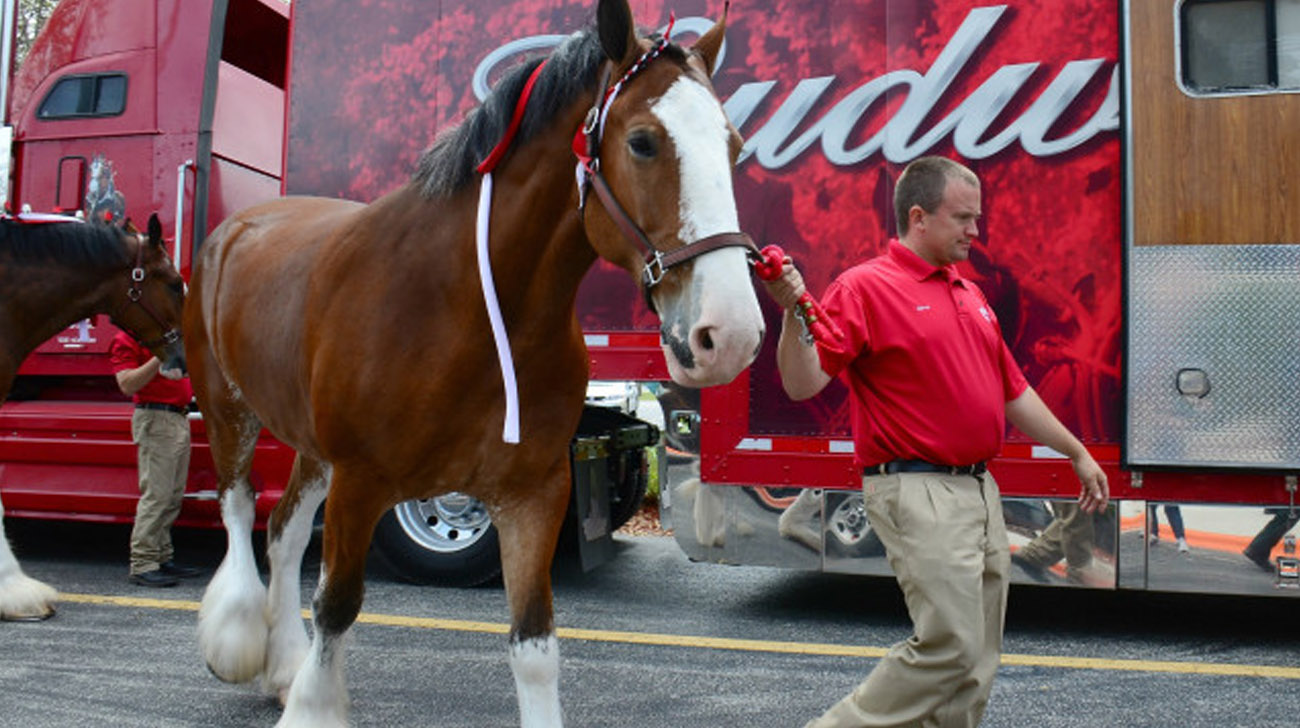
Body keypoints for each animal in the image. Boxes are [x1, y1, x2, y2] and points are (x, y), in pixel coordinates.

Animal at [189, 2, 759, 722]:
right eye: (642, 142)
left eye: (733, 145)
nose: (731, 331)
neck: (463, 310)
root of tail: (238, 225)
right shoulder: (360, 482)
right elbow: (338, 607)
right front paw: (313, 704)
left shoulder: (533, 493)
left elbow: (535, 644)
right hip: (227, 409)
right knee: (239, 510)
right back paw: (237, 639)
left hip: (312, 447)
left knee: (284, 532)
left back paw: (283, 664)